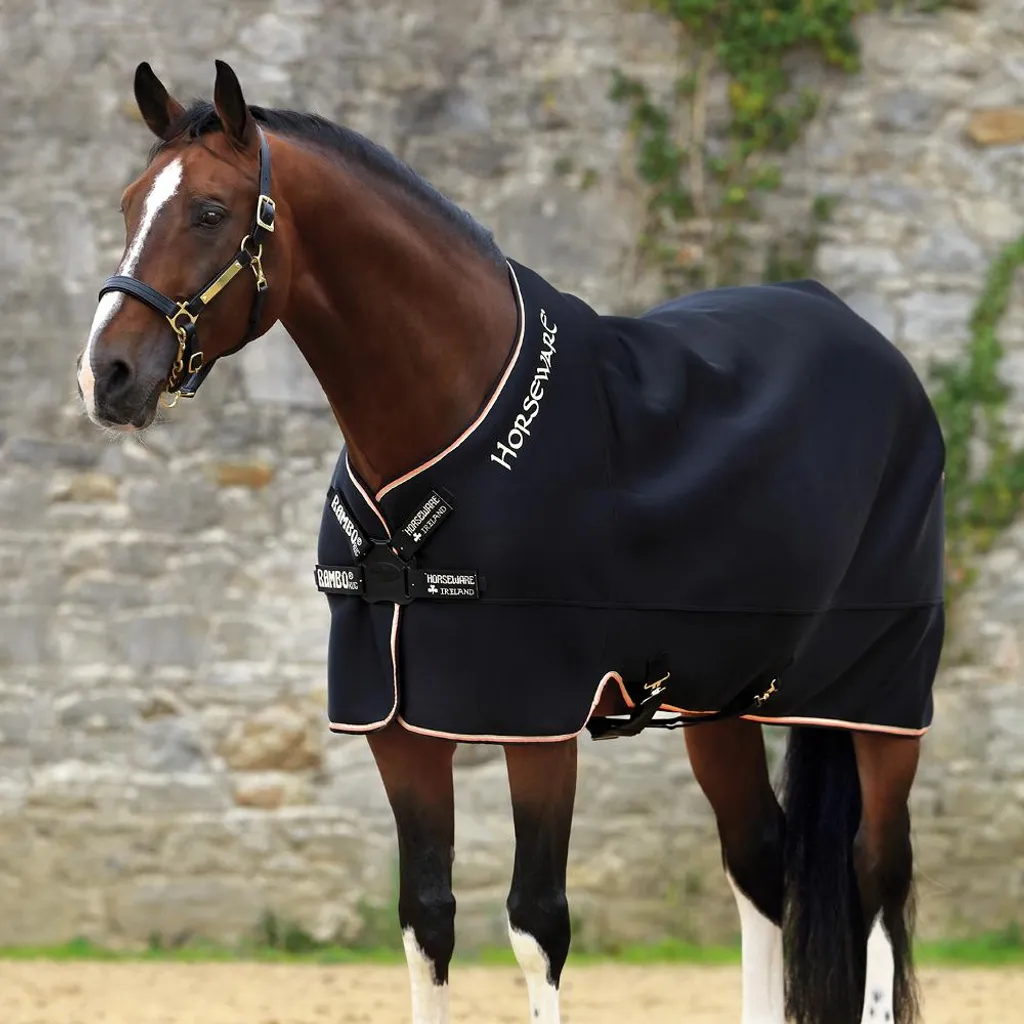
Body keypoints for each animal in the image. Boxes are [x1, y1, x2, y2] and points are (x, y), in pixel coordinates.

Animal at [76, 60, 945, 1024]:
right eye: (128, 204)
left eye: (210, 211)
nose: (106, 376)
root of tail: (872, 345)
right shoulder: (396, 724)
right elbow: (425, 918)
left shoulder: (536, 721)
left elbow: (537, 925)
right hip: (725, 701)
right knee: (760, 858)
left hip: (883, 697)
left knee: (878, 870)